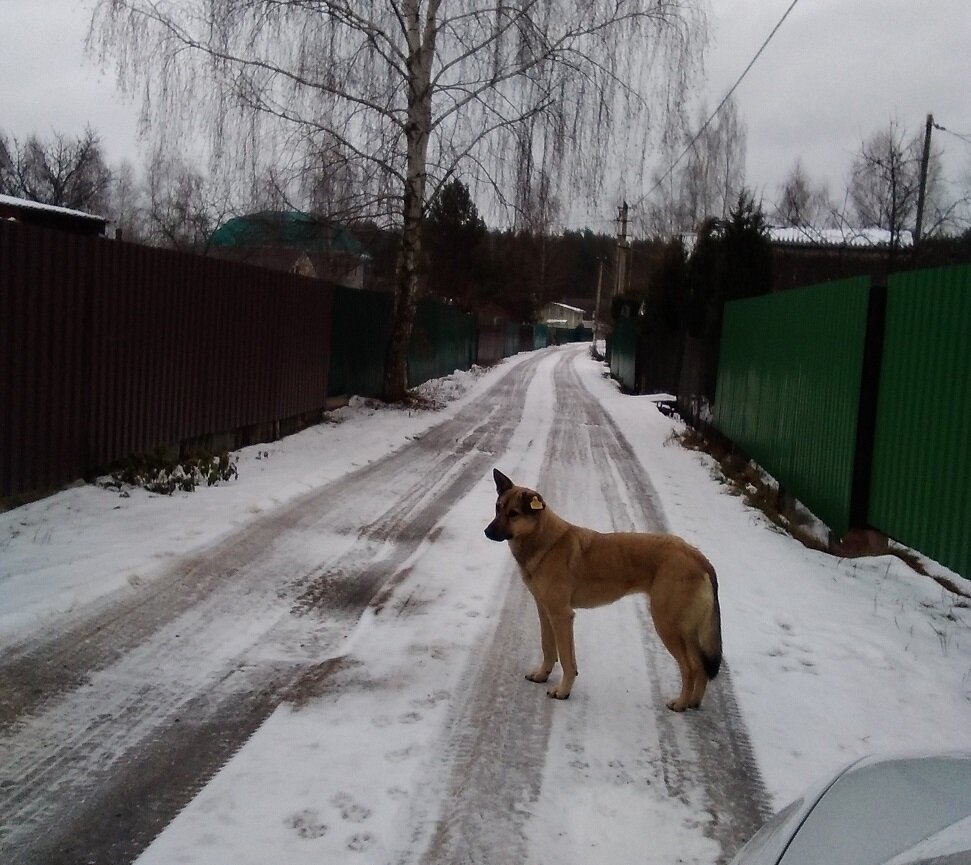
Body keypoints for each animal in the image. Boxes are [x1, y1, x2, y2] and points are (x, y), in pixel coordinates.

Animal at [486, 470, 720, 712]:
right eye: (497, 507)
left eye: (513, 514)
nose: (487, 532)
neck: (545, 542)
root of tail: (699, 557)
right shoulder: (545, 611)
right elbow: (548, 648)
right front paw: (543, 675)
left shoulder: (562, 616)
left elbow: (567, 660)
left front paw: (563, 691)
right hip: (686, 630)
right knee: (700, 667)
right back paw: (693, 702)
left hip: (668, 626)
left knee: (690, 668)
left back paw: (680, 703)